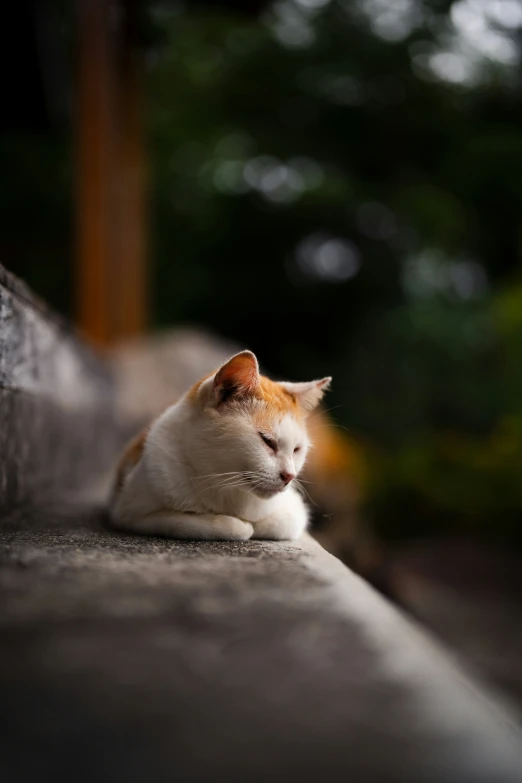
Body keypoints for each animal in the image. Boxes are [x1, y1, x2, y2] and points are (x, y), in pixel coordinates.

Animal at [109, 352, 330, 544]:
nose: (289, 476)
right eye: (267, 441)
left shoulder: (294, 508)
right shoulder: (129, 513)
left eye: (297, 449)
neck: (221, 483)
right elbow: (196, 524)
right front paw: (238, 525)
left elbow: (281, 523)